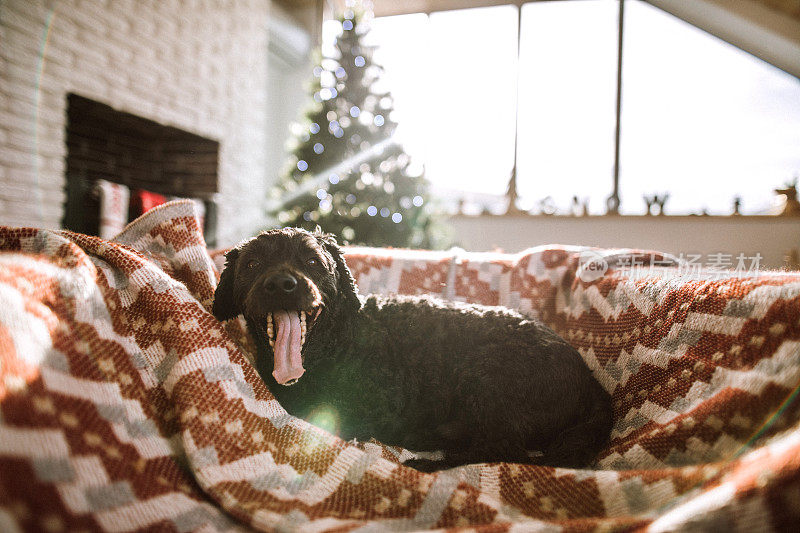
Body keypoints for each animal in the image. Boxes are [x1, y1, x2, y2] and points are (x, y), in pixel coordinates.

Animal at [214, 227, 612, 468]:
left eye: (312, 261)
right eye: (252, 263)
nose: (282, 283)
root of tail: (591, 381)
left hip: (488, 380)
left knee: (502, 451)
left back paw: (425, 460)